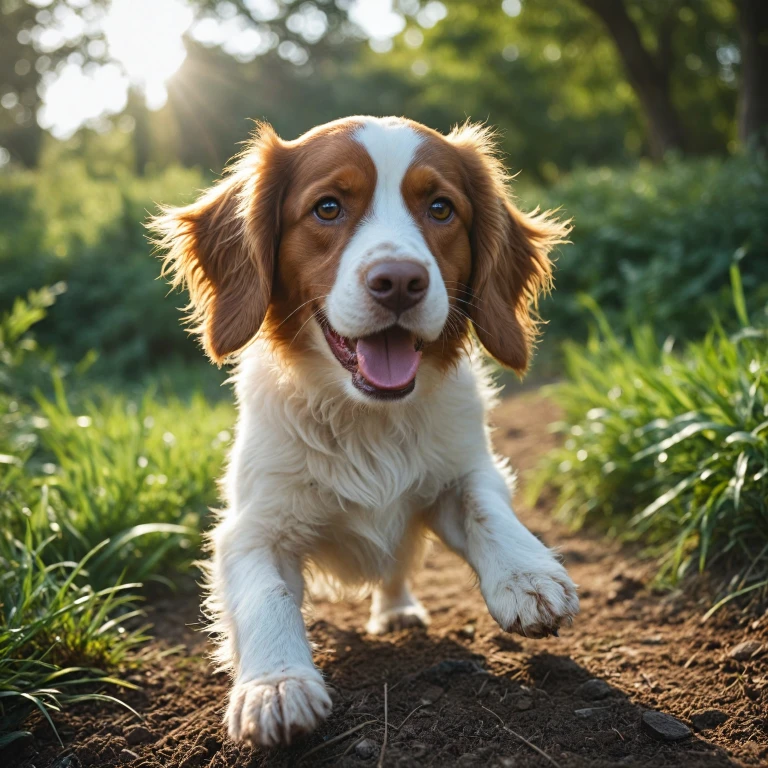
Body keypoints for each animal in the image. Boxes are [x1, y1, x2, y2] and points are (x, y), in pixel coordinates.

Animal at [153, 117, 580, 748]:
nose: (400, 280)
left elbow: (485, 508)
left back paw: (397, 610)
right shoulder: (250, 529)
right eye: (328, 207)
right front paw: (276, 685)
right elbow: (265, 595)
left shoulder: (462, 470)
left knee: (395, 569)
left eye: (440, 208)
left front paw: (527, 574)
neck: (367, 419)